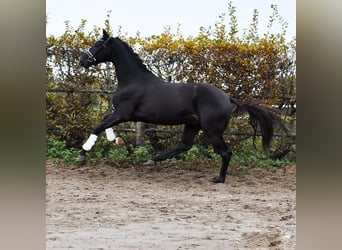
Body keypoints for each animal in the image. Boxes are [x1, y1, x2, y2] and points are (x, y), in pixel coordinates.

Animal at [78, 29, 284, 184]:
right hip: (192, 124)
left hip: (212, 130)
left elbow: (99, 125)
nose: (82, 60)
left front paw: (82, 153)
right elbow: (104, 121)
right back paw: (152, 160)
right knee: (185, 145)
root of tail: (227, 98)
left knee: (225, 152)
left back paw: (219, 179)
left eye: (98, 44)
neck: (134, 81)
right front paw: (115, 140)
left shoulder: (124, 113)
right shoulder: (120, 114)